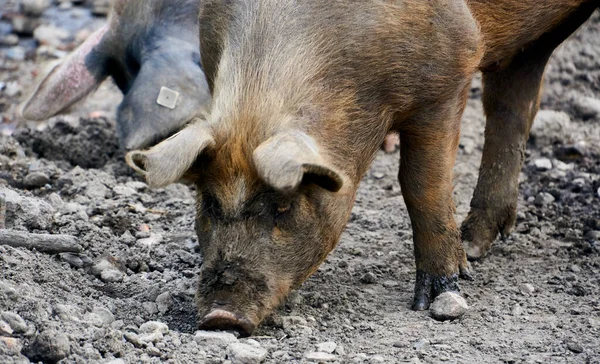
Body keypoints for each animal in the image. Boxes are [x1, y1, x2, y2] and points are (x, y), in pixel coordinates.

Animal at [125, 0, 596, 336]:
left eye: (283, 207)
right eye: (207, 203)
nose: (221, 317)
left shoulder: (447, 75)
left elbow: (421, 185)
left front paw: (439, 300)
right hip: (530, 45)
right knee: (513, 106)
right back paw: (476, 246)